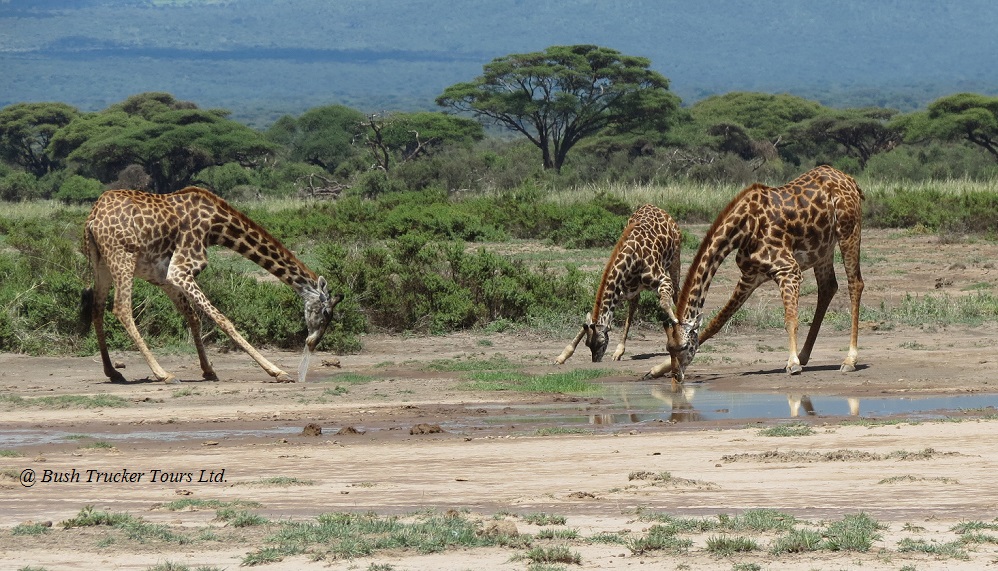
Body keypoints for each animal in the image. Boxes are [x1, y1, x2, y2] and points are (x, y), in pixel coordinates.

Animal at [80, 188, 344, 384]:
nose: (312, 343)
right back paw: (163, 374)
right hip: (122, 257)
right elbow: (222, 319)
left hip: (102, 264)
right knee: (122, 308)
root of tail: (92, 219)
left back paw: (113, 372)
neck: (216, 226)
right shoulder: (181, 269)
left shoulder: (164, 275)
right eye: (326, 313)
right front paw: (277, 371)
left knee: (97, 308)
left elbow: (193, 317)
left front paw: (208, 370)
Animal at [560, 206, 684, 364]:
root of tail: (659, 209)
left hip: (675, 260)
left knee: (677, 293)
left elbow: (664, 304)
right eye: (587, 343)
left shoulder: (663, 280)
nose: (596, 359)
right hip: (635, 290)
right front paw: (562, 356)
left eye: (600, 342)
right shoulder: (621, 292)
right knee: (634, 306)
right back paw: (619, 351)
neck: (632, 261)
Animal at [648, 164, 868, 380]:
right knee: (828, 287)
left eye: (684, 346)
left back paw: (849, 360)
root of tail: (850, 180)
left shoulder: (788, 269)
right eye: (669, 348)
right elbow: (717, 322)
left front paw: (792, 364)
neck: (743, 228)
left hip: (849, 231)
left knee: (855, 284)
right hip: (823, 249)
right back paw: (805, 355)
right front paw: (656, 369)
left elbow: (790, 321)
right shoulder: (750, 276)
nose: (677, 376)